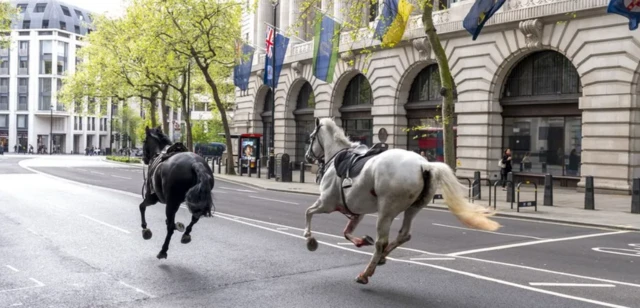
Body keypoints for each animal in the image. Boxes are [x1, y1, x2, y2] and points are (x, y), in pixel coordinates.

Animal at [141, 126, 215, 258]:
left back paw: (163, 251)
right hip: (195, 201)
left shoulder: (152, 197)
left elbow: (142, 207)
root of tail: (195, 163)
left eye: (144, 141)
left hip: (171, 203)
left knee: (170, 227)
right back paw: (186, 234)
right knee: (195, 218)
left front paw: (145, 229)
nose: (143, 158)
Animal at [304, 117, 500, 284]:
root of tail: (425, 164)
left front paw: (309, 239)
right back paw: (382, 258)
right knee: (404, 235)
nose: (307, 157)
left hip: (386, 210)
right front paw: (361, 240)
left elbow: (309, 212)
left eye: (311, 138)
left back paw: (366, 273)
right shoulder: (357, 211)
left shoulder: (327, 203)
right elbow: (346, 232)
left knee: (381, 242)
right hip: (413, 208)